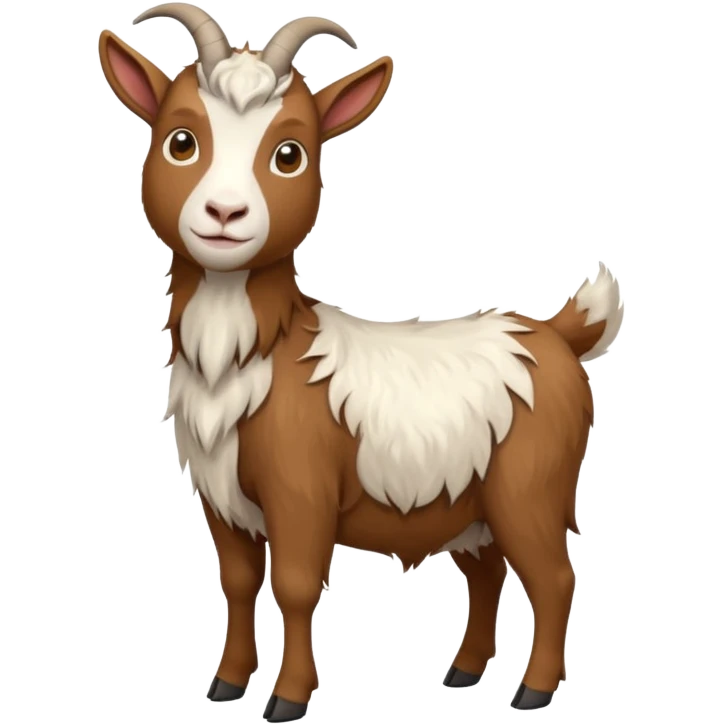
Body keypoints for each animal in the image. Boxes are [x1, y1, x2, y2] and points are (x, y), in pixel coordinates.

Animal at [98, 3, 625, 717]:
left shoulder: (301, 491)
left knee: (552, 577)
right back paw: (463, 671)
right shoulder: (220, 496)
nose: (225, 213)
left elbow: (294, 586)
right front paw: (227, 683)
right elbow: (237, 582)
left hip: (530, 490)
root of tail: (554, 333)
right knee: (487, 572)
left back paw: (533, 691)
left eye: (289, 154)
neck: (260, 350)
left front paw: (288, 699)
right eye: (180, 140)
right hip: (468, 504)